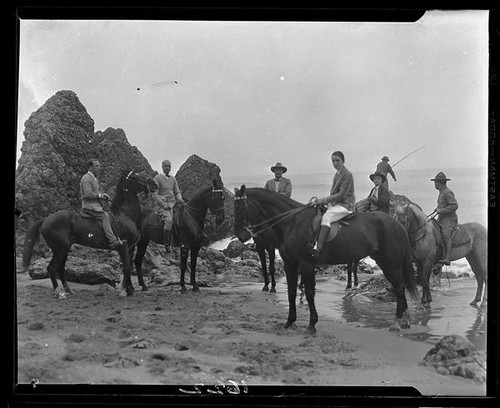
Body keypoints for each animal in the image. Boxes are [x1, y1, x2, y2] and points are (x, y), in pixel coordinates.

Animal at [22, 171, 156, 298]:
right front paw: (124, 291)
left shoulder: (130, 247)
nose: (154, 184)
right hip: (60, 249)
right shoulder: (123, 246)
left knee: (60, 269)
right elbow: (127, 268)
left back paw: (69, 290)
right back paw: (59, 293)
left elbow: (128, 267)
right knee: (51, 268)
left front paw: (129, 290)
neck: (124, 215)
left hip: (63, 249)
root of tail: (45, 219)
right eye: (135, 176)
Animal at [232, 186, 420, 334]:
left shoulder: (306, 265)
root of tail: (397, 224)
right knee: (400, 288)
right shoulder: (290, 265)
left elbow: (309, 293)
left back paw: (397, 322)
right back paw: (404, 320)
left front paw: (311, 324)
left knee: (399, 288)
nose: (241, 236)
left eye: (241, 208)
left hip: (390, 264)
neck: (293, 222)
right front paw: (290, 321)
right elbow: (291, 293)